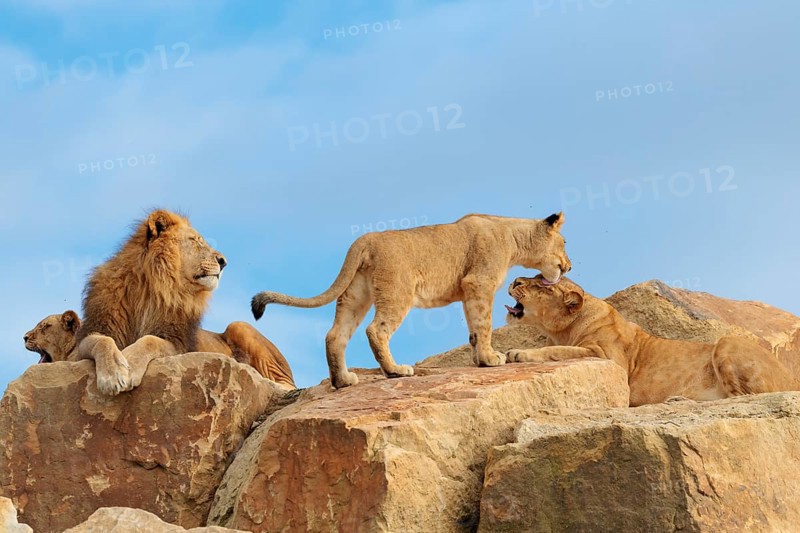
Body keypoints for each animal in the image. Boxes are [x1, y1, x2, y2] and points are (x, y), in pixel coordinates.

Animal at [75, 209, 295, 395]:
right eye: (195, 241)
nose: (224, 261)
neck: (150, 287)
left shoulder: (177, 343)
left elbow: (149, 340)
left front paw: (129, 361)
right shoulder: (92, 333)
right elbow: (102, 341)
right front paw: (113, 373)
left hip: (239, 326)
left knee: (286, 385)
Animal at [252, 213, 571, 389]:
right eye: (565, 243)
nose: (569, 267)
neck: (513, 237)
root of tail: (365, 239)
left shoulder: (468, 290)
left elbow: (473, 329)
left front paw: (479, 359)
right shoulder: (479, 283)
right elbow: (484, 324)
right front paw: (491, 358)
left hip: (356, 295)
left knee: (335, 335)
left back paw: (343, 381)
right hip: (398, 292)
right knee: (376, 330)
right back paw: (395, 370)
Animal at [504, 275, 798, 406]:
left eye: (543, 286)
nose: (515, 280)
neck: (566, 328)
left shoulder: (610, 359)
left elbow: (559, 350)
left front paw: (518, 353)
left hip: (727, 342)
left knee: (742, 397)